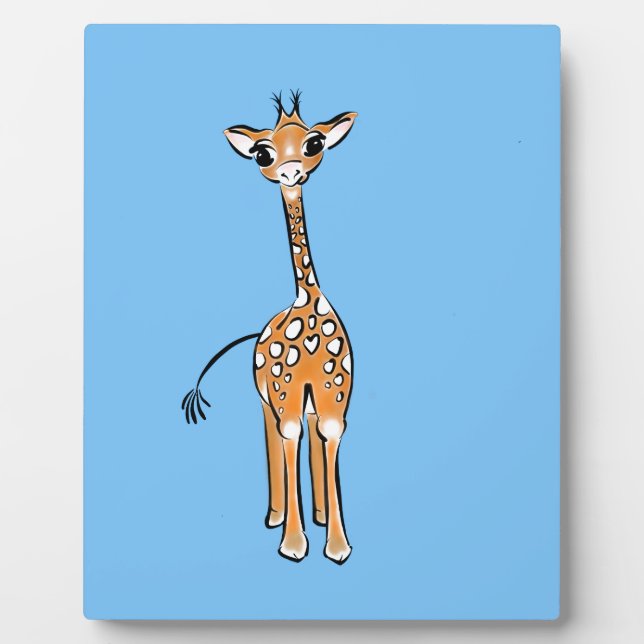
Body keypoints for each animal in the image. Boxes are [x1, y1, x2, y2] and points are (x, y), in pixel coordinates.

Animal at [182, 91, 357, 565]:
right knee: (275, 439)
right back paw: (277, 516)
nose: (291, 172)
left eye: (315, 143)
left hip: (307, 399)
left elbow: (328, 439)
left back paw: (319, 515)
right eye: (263, 153)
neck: (307, 304)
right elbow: (288, 440)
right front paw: (294, 545)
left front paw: (336, 544)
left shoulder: (334, 398)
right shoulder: (284, 395)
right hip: (267, 398)